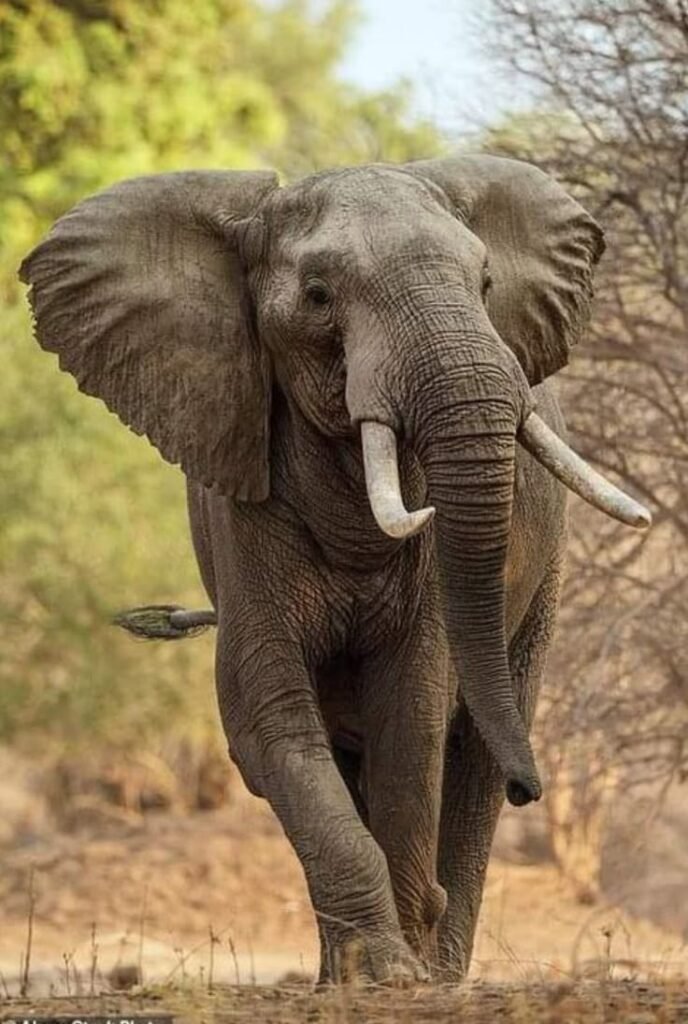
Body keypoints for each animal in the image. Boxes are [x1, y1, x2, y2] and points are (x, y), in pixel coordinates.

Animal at [20, 155, 650, 984]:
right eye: (318, 297)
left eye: (485, 282)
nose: (533, 789)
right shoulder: (243, 507)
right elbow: (268, 716)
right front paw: (375, 974)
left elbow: (411, 713)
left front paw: (404, 975)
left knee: (473, 757)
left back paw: (443, 971)